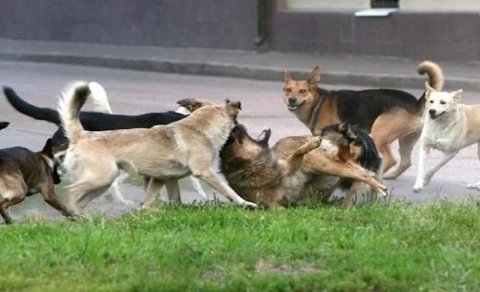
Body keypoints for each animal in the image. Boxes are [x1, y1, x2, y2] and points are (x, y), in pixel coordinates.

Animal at [59, 82, 258, 214]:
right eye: (237, 123)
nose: (246, 130)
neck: (198, 128)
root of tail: (82, 135)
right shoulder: (204, 172)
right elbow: (228, 190)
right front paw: (245, 203)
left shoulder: (164, 179)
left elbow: (165, 199)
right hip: (102, 178)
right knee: (68, 191)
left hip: (102, 182)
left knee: (80, 201)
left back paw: (83, 220)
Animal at [218, 124, 386, 209]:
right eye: (238, 140)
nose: (236, 125)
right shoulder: (273, 206)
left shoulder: (290, 166)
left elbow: (297, 152)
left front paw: (309, 145)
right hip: (327, 173)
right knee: (360, 173)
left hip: (323, 165)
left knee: (363, 173)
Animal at [284, 60, 444, 179]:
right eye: (288, 90)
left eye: (303, 91)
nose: (291, 100)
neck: (319, 103)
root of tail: (415, 104)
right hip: (406, 140)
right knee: (405, 162)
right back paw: (390, 176)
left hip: (380, 134)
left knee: (391, 160)